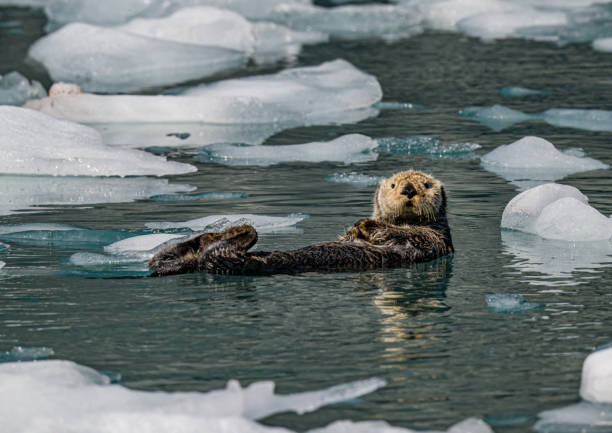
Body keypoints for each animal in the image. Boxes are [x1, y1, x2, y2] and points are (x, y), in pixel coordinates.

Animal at [149, 170, 454, 276]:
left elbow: (407, 235)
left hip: (234, 261)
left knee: (223, 250)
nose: (409, 189)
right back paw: (212, 235)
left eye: (426, 184)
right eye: (393, 185)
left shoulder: (434, 239)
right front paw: (356, 226)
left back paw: (238, 229)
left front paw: (365, 224)